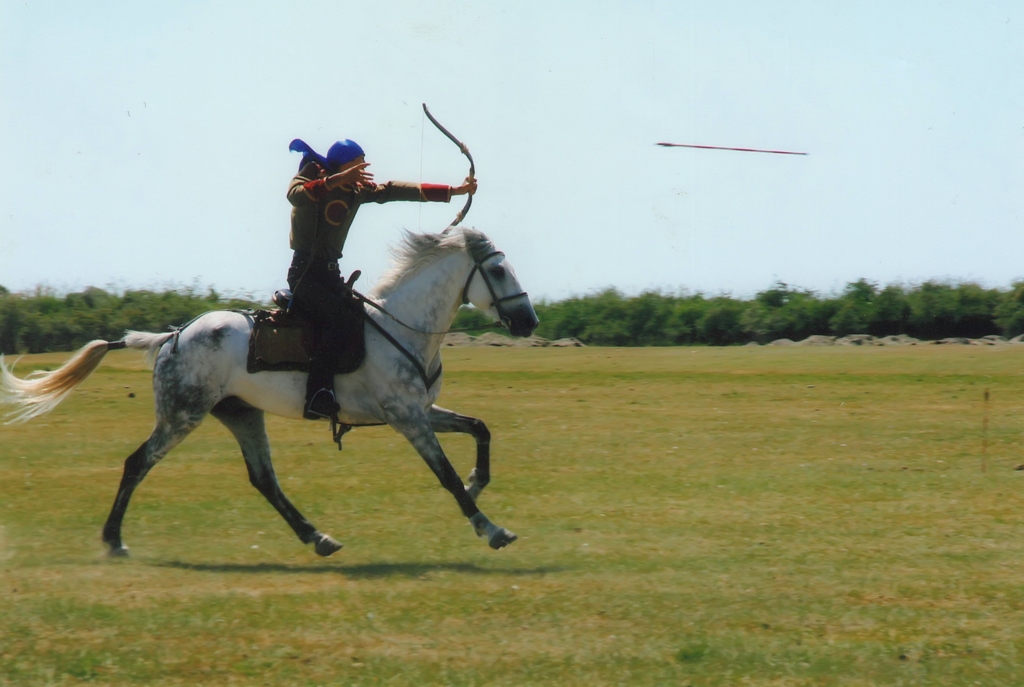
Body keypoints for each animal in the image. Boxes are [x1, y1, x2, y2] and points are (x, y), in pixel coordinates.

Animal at [0, 227, 539, 557]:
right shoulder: (408, 418)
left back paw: (317, 536)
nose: (528, 321)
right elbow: (445, 475)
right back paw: (113, 540)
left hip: (240, 414)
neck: (402, 327)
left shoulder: (421, 411)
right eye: (497, 271)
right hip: (182, 415)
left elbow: (480, 429)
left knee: (264, 479)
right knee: (138, 463)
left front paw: (478, 480)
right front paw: (490, 528)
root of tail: (172, 337)